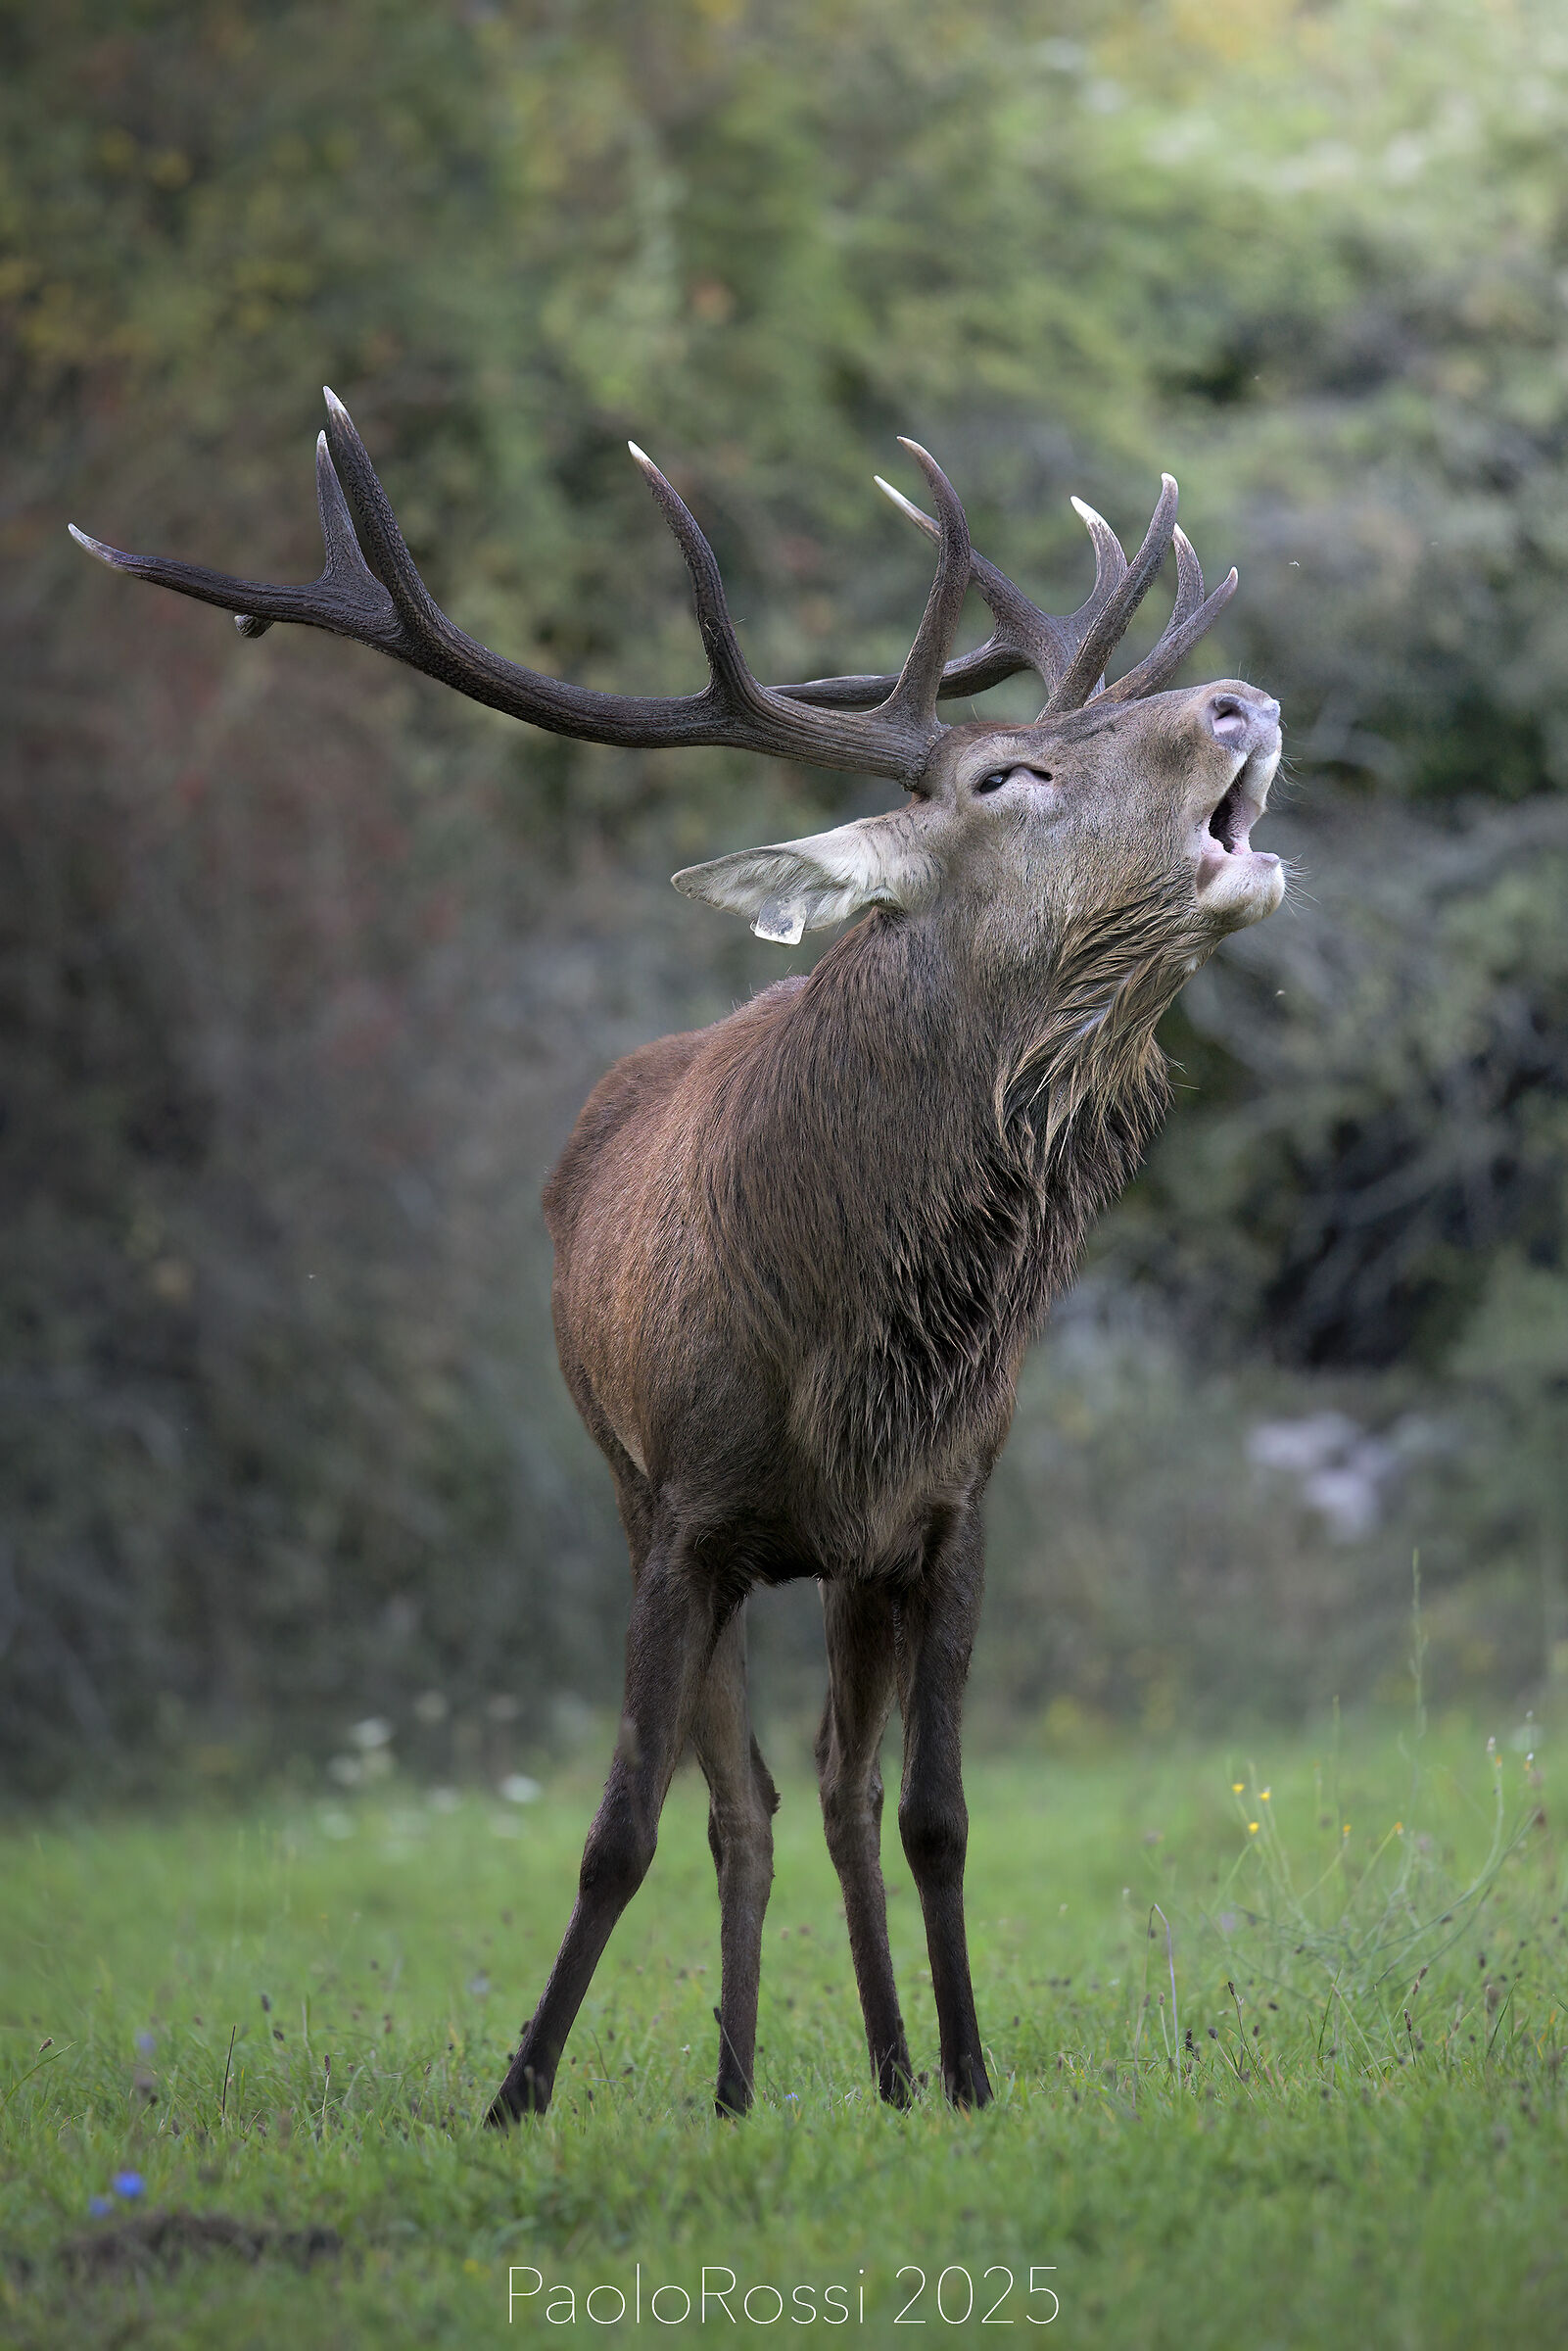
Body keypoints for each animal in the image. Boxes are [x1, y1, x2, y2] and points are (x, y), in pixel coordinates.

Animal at [72, 388, 1283, 2123]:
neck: (854, 1355)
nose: (1243, 702)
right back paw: (729, 2089)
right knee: (747, 1803)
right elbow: (623, 1827)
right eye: (1006, 774)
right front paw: (516, 2095)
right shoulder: (685, 1516)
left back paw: (876, 2076)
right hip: (627, 1488)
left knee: (834, 1789)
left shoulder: (950, 1510)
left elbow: (935, 1812)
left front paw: (966, 2082)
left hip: (836, 1568)